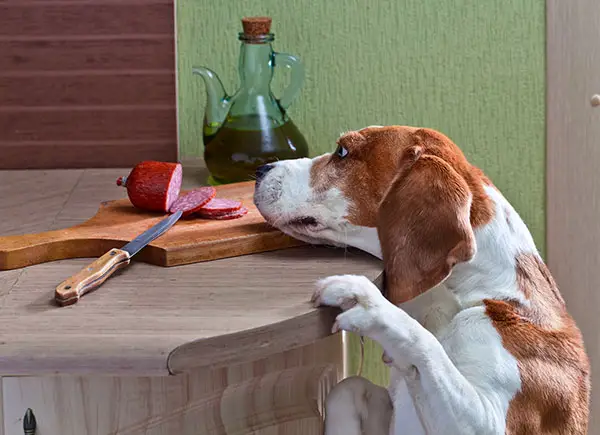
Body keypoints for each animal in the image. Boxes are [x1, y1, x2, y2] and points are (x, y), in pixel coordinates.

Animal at [253, 126, 592, 435]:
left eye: (342, 152)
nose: (260, 169)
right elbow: (349, 387)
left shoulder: (488, 422)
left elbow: (423, 343)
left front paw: (369, 302)